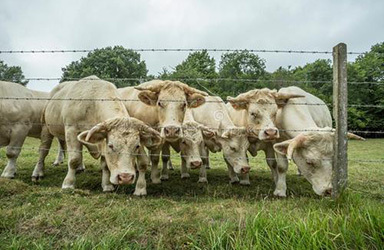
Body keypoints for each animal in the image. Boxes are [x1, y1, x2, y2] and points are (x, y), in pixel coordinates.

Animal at [30, 76, 161, 195]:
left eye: (137, 146)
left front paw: (107, 185)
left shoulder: (100, 139)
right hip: (46, 128)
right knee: (43, 151)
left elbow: (104, 164)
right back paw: (37, 173)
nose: (125, 177)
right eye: (111, 146)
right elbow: (74, 159)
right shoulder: (71, 130)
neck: (92, 104)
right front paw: (68, 183)